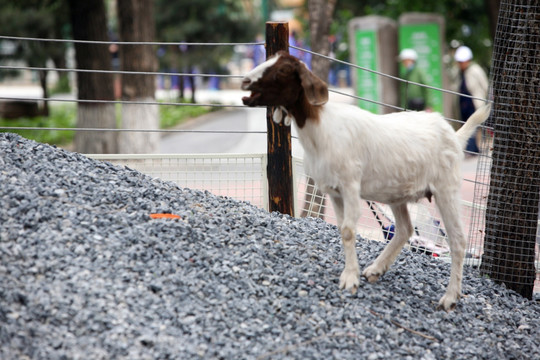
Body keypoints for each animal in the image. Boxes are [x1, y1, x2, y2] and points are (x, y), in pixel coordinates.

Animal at [240, 50, 490, 310]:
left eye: (281, 71)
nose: (245, 82)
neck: (322, 129)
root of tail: (454, 135)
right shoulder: (334, 192)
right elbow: (342, 229)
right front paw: (353, 273)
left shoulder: (350, 185)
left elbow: (349, 230)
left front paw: (350, 279)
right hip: (397, 194)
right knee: (405, 229)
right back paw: (376, 269)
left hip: (446, 188)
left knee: (457, 241)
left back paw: (450, 298)